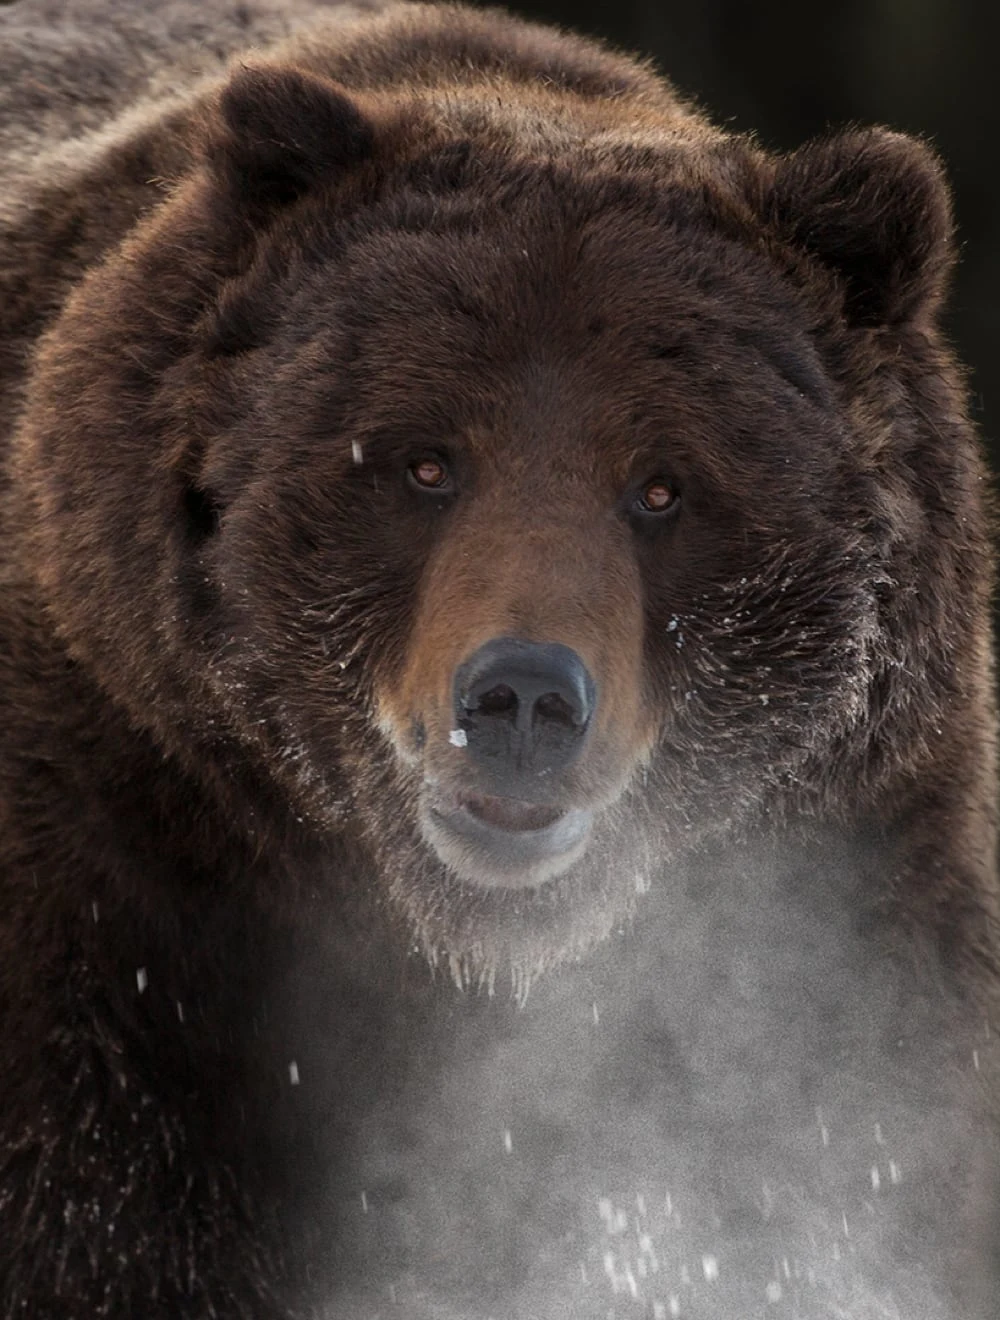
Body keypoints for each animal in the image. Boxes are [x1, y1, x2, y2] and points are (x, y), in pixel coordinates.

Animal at [1, 0, 998, 1317]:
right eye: (422, 460)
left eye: (662, 485)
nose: (521, 696)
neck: (463, 946)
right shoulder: (126, 855)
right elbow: (99, 1212)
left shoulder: (834, 896)